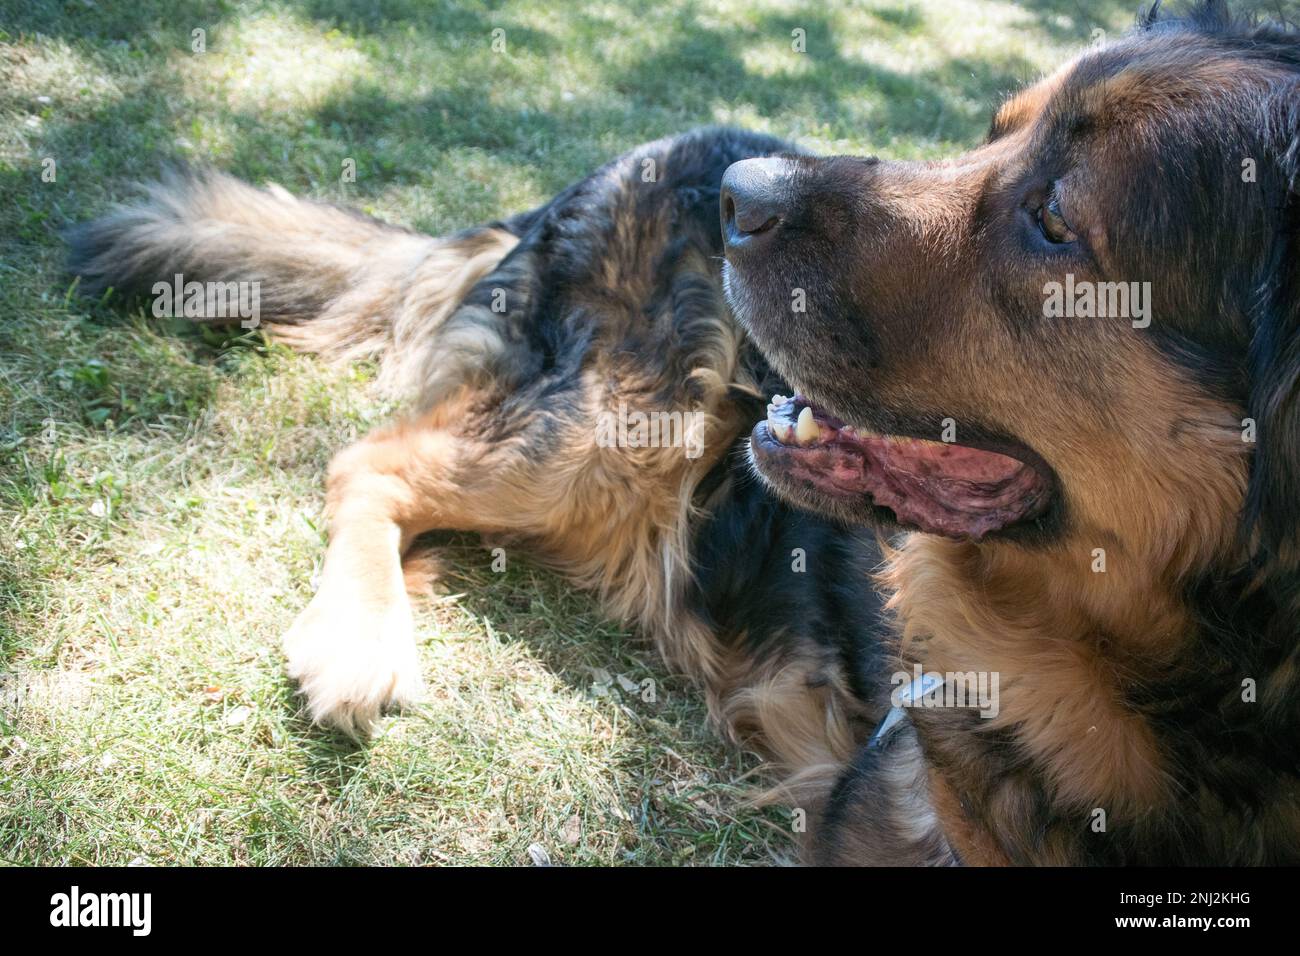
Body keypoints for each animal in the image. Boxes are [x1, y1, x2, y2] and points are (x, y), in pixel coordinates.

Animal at [65, 0, 1300, 868]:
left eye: (1053, 219)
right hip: (622, 429)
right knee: (370, 462)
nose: (741, 199)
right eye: (991, 134)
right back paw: (359, 640)